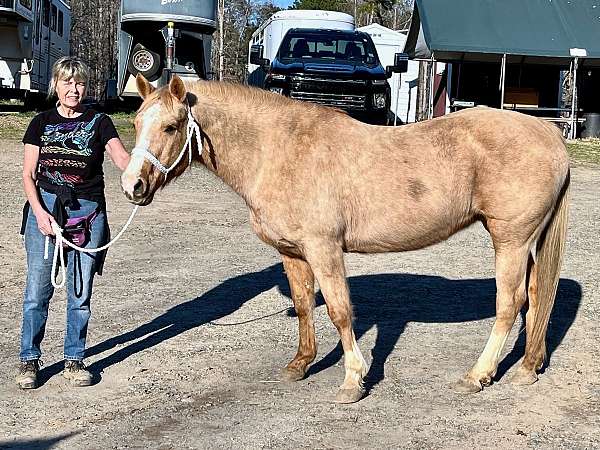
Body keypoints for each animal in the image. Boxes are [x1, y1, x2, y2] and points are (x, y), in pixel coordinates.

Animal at [120, 74, 568, 404]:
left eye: (171, 126)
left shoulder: (325, 249)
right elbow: (305, 305)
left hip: (509, 240)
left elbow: (339, 311)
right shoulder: (293, 253)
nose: (131, 186)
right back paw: (527, 368)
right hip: (526, 243)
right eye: (138, 122)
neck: (280, 150)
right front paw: (300, 365)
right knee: (536, 295)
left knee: (510, 303)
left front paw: (353, 381)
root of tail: (551, 136)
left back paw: (477, 375)